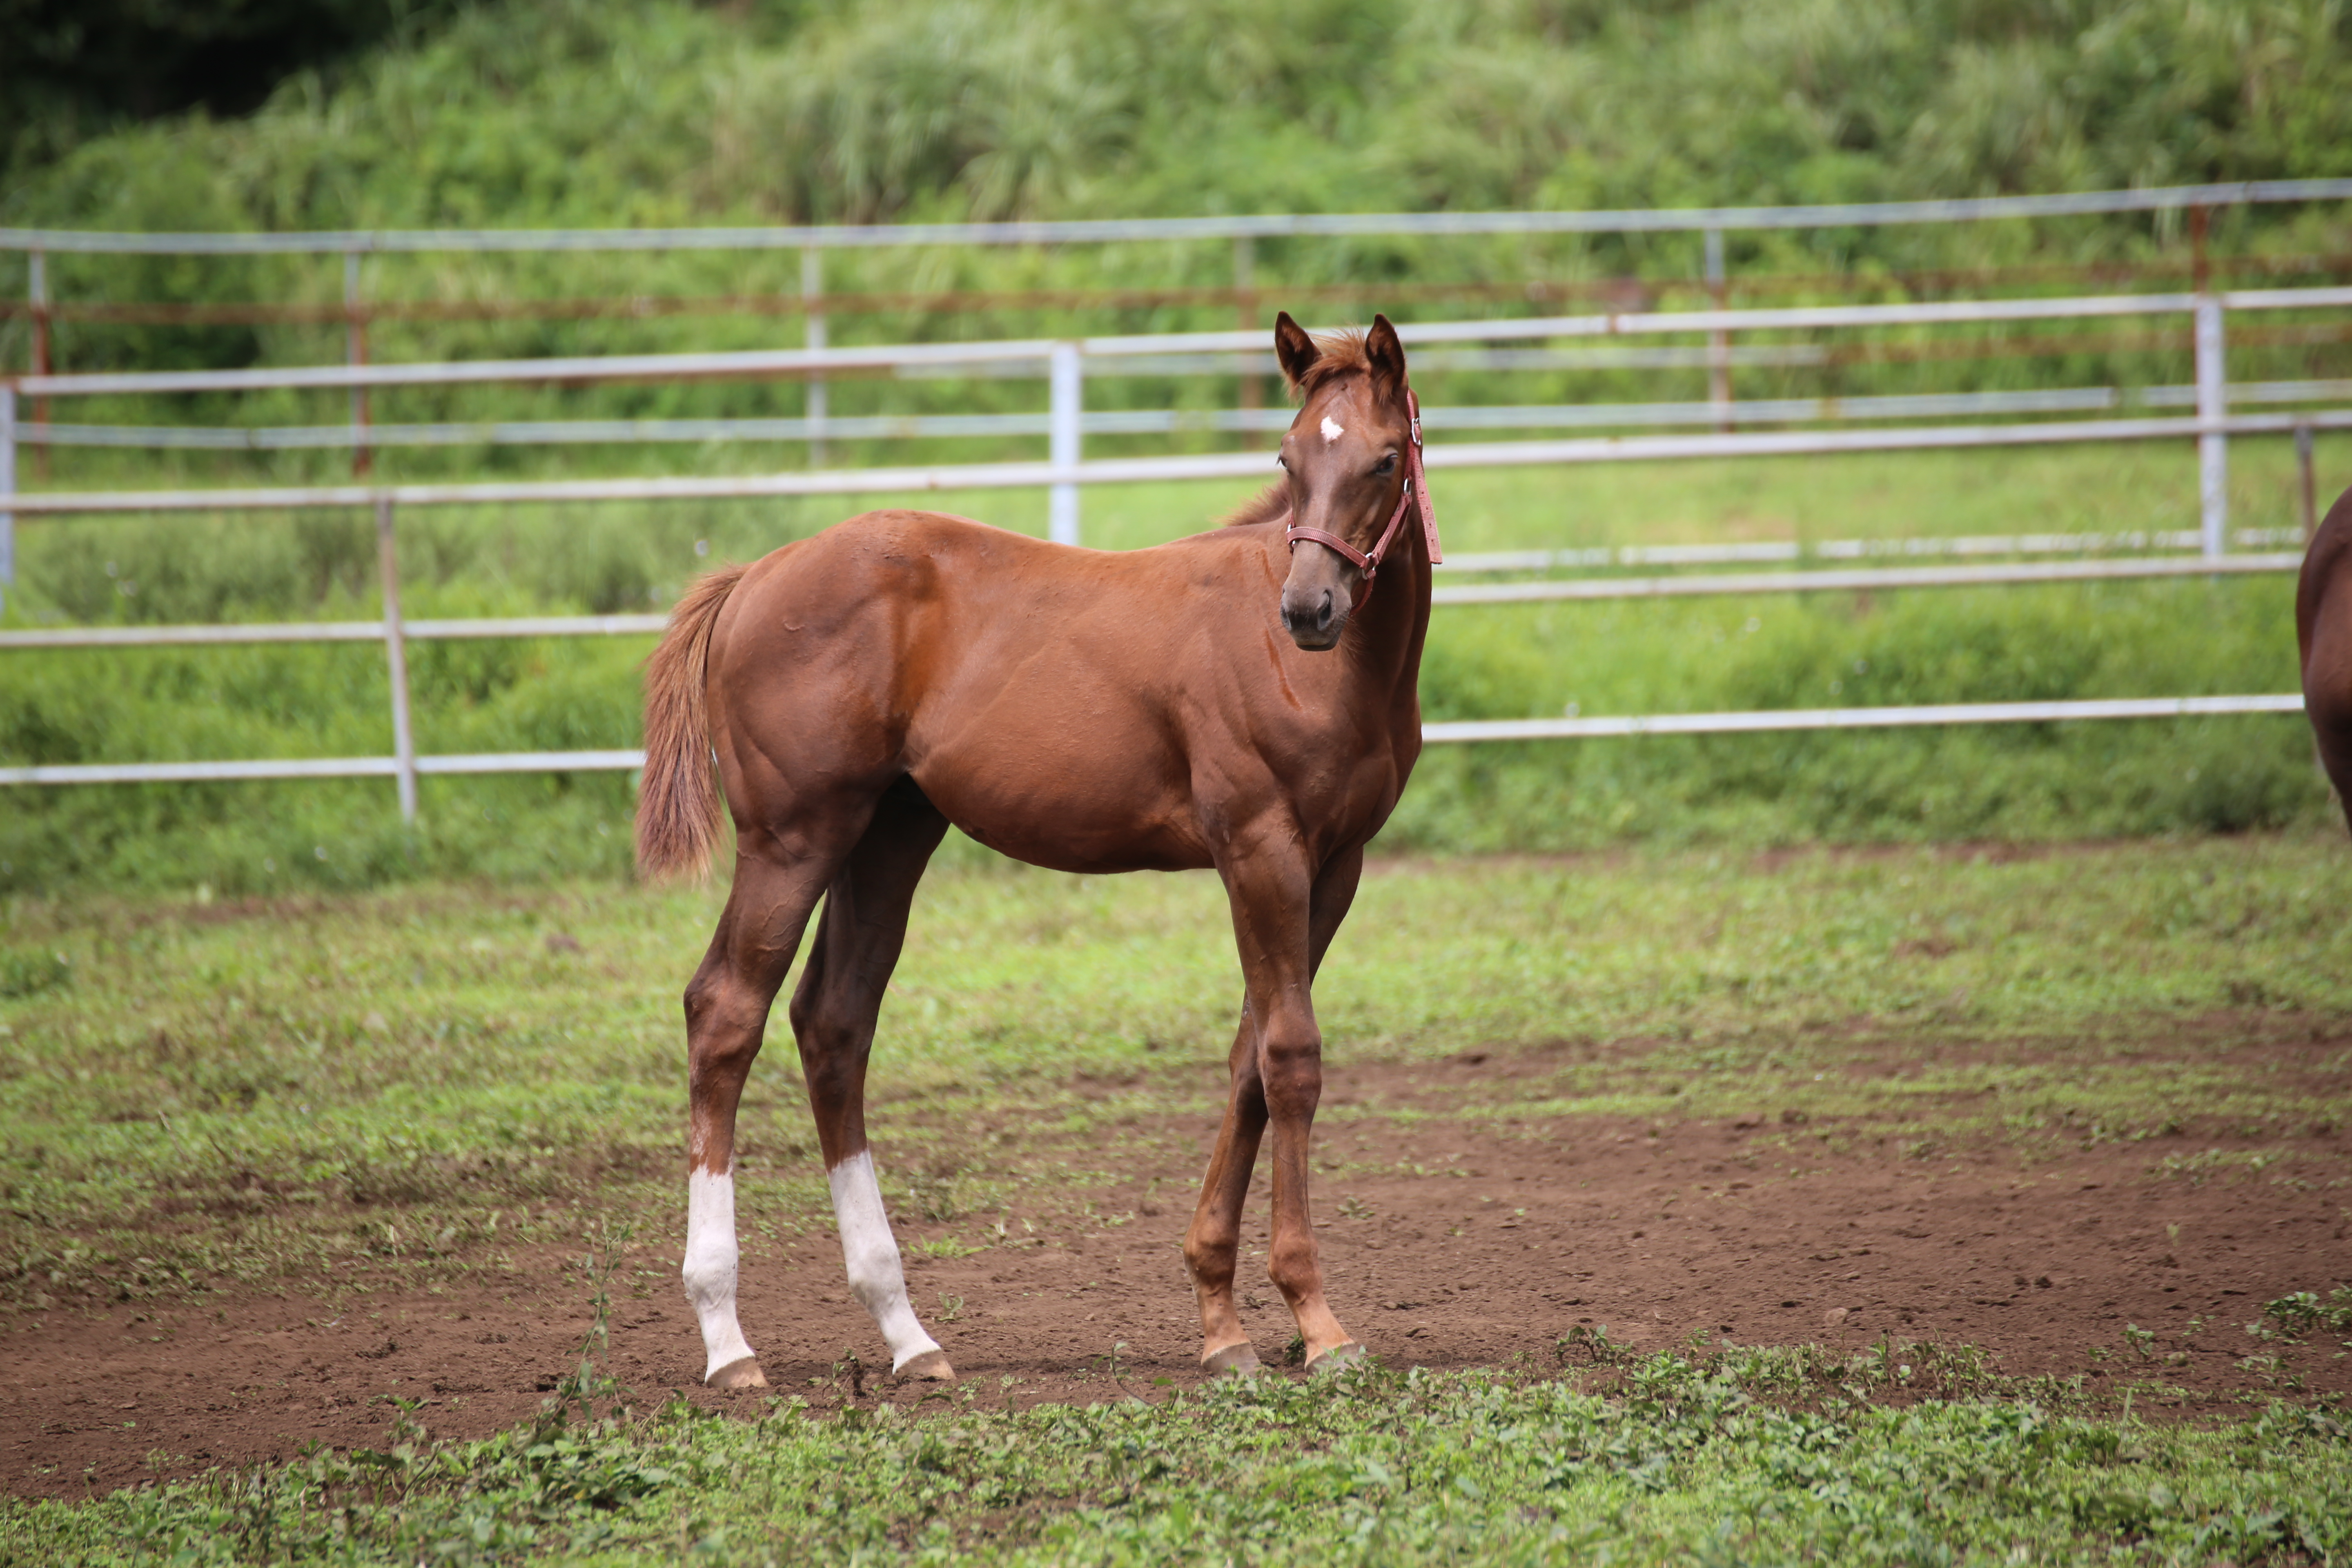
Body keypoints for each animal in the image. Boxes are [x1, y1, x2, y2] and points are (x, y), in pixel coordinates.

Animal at [639, 312, 1430, 1392]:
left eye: (1383, 459)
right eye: (1289, 455)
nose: (1307, 610)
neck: (1333, 674)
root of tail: (754, 577)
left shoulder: (1333, 867)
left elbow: (1248, 1060)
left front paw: (1221, 1321)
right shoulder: (1260, 850)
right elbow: (1290, 1058)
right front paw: (1316, 1320)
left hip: (887, 835)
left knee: (833, 1024)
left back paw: (907, 1333)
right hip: (792, 838)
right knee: (726, 1012)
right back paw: (728, 1340)